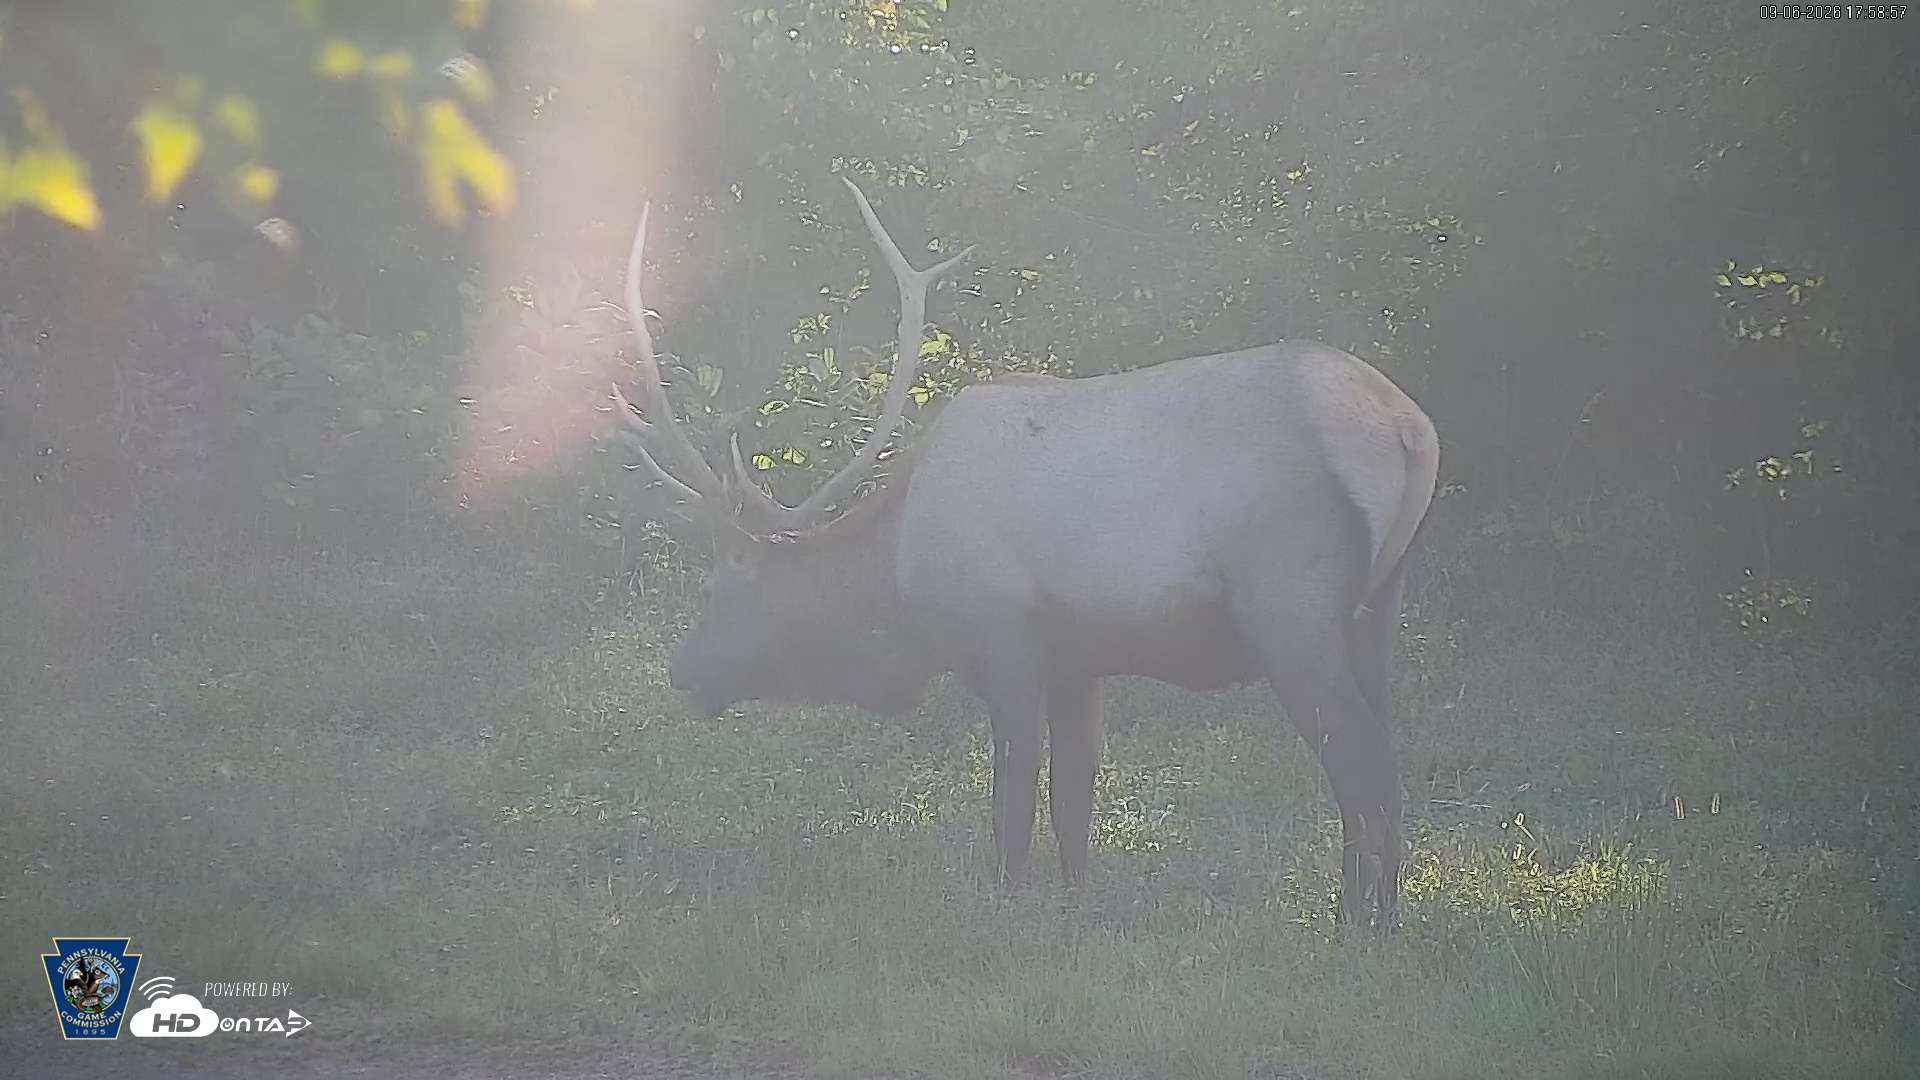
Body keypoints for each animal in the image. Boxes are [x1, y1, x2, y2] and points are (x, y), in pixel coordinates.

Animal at [610, 178, 1440, 930]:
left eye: (719, 591)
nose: (679, 670)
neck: (897, 589)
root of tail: (1411, 429)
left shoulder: (1004, 637)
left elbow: (1012, 805)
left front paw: (1009, 914)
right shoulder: (1081, 658)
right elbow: (1074, 803)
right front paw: (1075, 912)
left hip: (1289, 606)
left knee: (1361, 764)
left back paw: (1354, 927)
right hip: (1379, 606)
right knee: (1389, 762)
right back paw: (1382, 915)